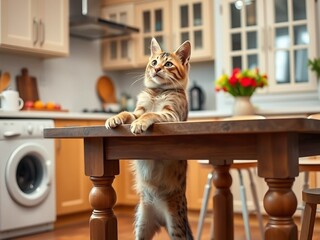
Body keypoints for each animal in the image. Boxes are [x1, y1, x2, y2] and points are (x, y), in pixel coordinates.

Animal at [106, 38, 194, 239]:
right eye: (154, 62)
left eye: (168, 64)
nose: (156, 69)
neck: (158, 92)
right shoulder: (137, 111)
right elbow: (128, 113)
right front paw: (114, 118)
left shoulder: (172, 115)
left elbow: (151, 114)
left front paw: (139, 125)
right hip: (142, 224)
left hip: (176, 224)